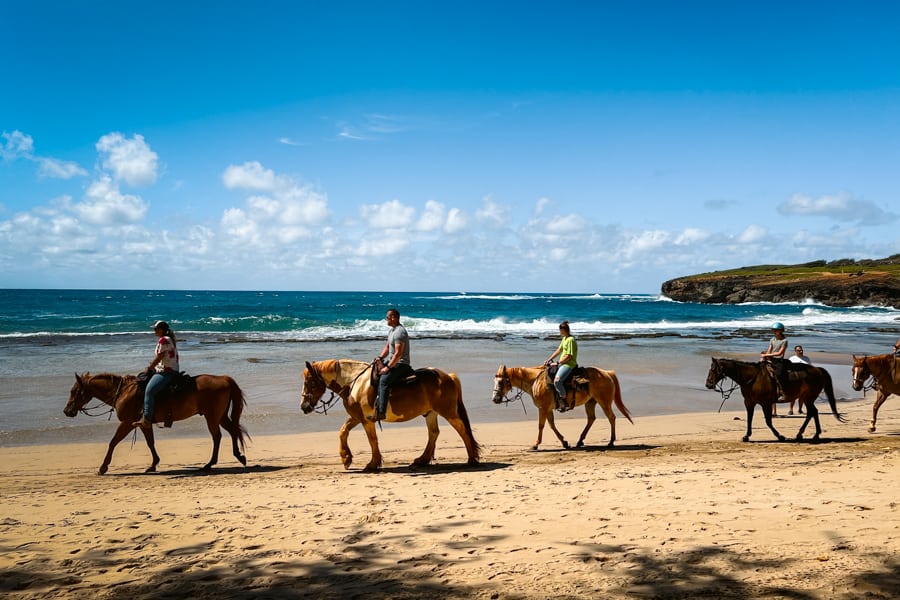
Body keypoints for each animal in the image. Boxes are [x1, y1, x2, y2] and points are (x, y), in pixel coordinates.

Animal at [64, 370, 250, 474]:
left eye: (74, 391)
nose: (67, 411)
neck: (124, 392)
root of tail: (224, 379)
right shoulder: (143, 423)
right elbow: (150, 442)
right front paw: (153, 465)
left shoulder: (127, 422)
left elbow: (113, 442)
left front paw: (103, 467)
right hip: (220, 416)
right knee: (232, 431)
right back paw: (239, 456)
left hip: (212, 417)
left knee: (217, 436)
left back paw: (210, 463)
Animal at [300, 358, 486, 472]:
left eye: (309, 382)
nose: (303, 407)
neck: (355, 383)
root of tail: (449, 376)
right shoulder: (357, 417)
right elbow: (343, 431)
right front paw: (346, 458)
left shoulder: (367, 420)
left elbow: (372, 439)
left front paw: (372, 464)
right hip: (431, 413)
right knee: (434, 433)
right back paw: (422, 460)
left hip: (448, 412)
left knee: (462, 430)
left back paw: (472, 459)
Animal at [492, 360, 632, 450]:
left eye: (500, 382)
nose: (494, 399)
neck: (535, 381)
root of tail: (607, 373)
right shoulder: (548, 409)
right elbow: (552, 425)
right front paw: (564, 443)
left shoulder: (542, 408)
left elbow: (541, 425)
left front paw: (535, 444)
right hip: (590, 402)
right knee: (591, 419)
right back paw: (580, 441)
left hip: (604, 401)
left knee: (611, 417)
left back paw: (611, 442)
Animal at [704, 358, 844, 442]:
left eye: (713, 369)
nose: (708, 384)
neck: (752, 378)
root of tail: (818, 369)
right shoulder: (749, 403)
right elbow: (749, 419)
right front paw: (746, 436)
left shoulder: (765, 403)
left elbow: (768, 421)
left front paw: (780, 436)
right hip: (806, 398)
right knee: (813, 412)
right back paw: (811, 434)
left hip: (808, 398)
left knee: (812, 412)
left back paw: (807, 434)